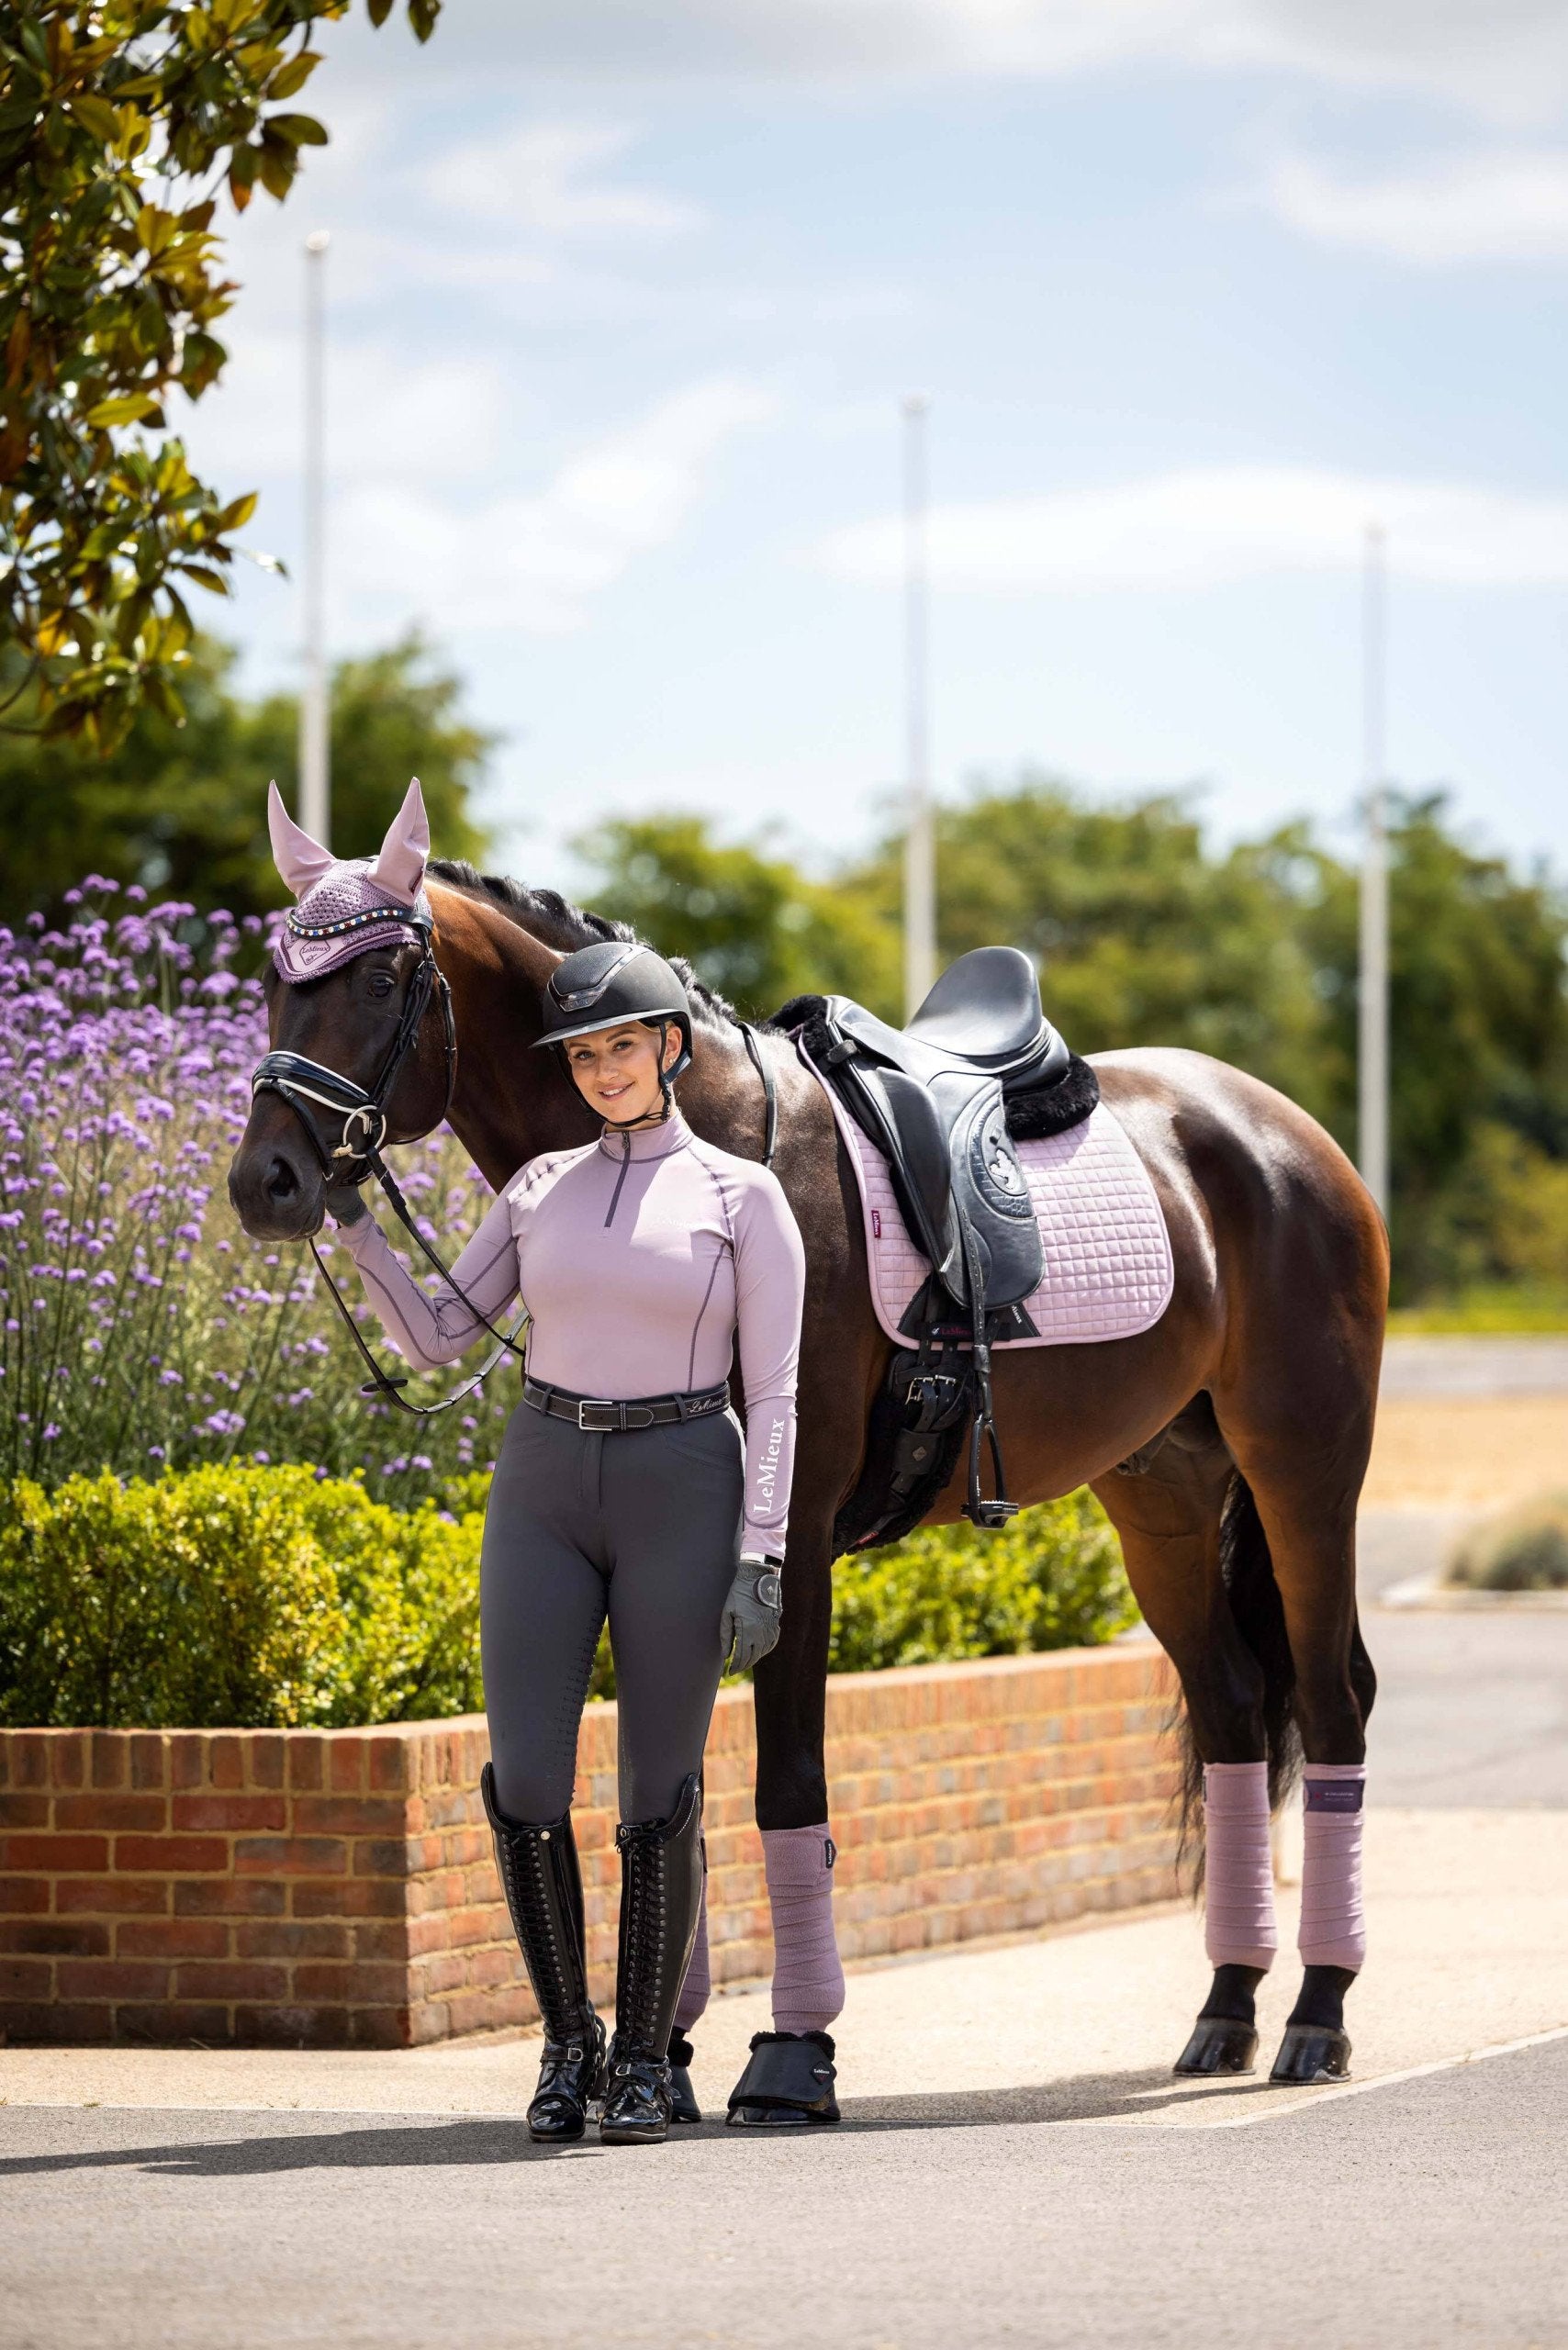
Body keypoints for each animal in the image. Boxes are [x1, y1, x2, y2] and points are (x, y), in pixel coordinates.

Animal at [229, 853, 1386, 2101]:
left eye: (380, 976)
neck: (708, 1137)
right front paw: (667, 2053)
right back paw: (1226, 2008)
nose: (267, 1179)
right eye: (275, 977)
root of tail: (1284, 1131)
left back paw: (1317, 2013)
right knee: (1230, 1706)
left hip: (1303, 1476)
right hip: (1160, 1498)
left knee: (1331, 1704)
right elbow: (671, 1785)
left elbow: (783, 1784)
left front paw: (790, 2052)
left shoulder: (788, 1544)